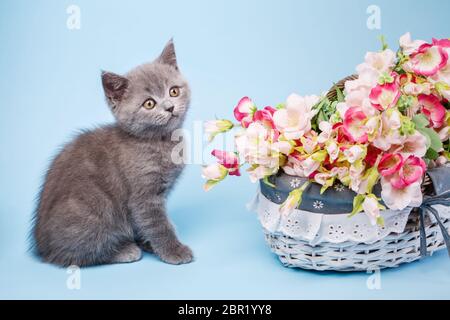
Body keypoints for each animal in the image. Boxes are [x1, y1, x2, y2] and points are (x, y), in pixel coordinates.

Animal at [31, 40, 193, 268]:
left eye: (174, 92)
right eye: (149, 103)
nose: (169, 107)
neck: (160, 142)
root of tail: (41, 247)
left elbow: (143, 224)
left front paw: (148, 243)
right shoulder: (144, 196)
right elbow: (158, 225)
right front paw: (174, 251)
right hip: (95, 210)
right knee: (73, 255)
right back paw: (124, 250)